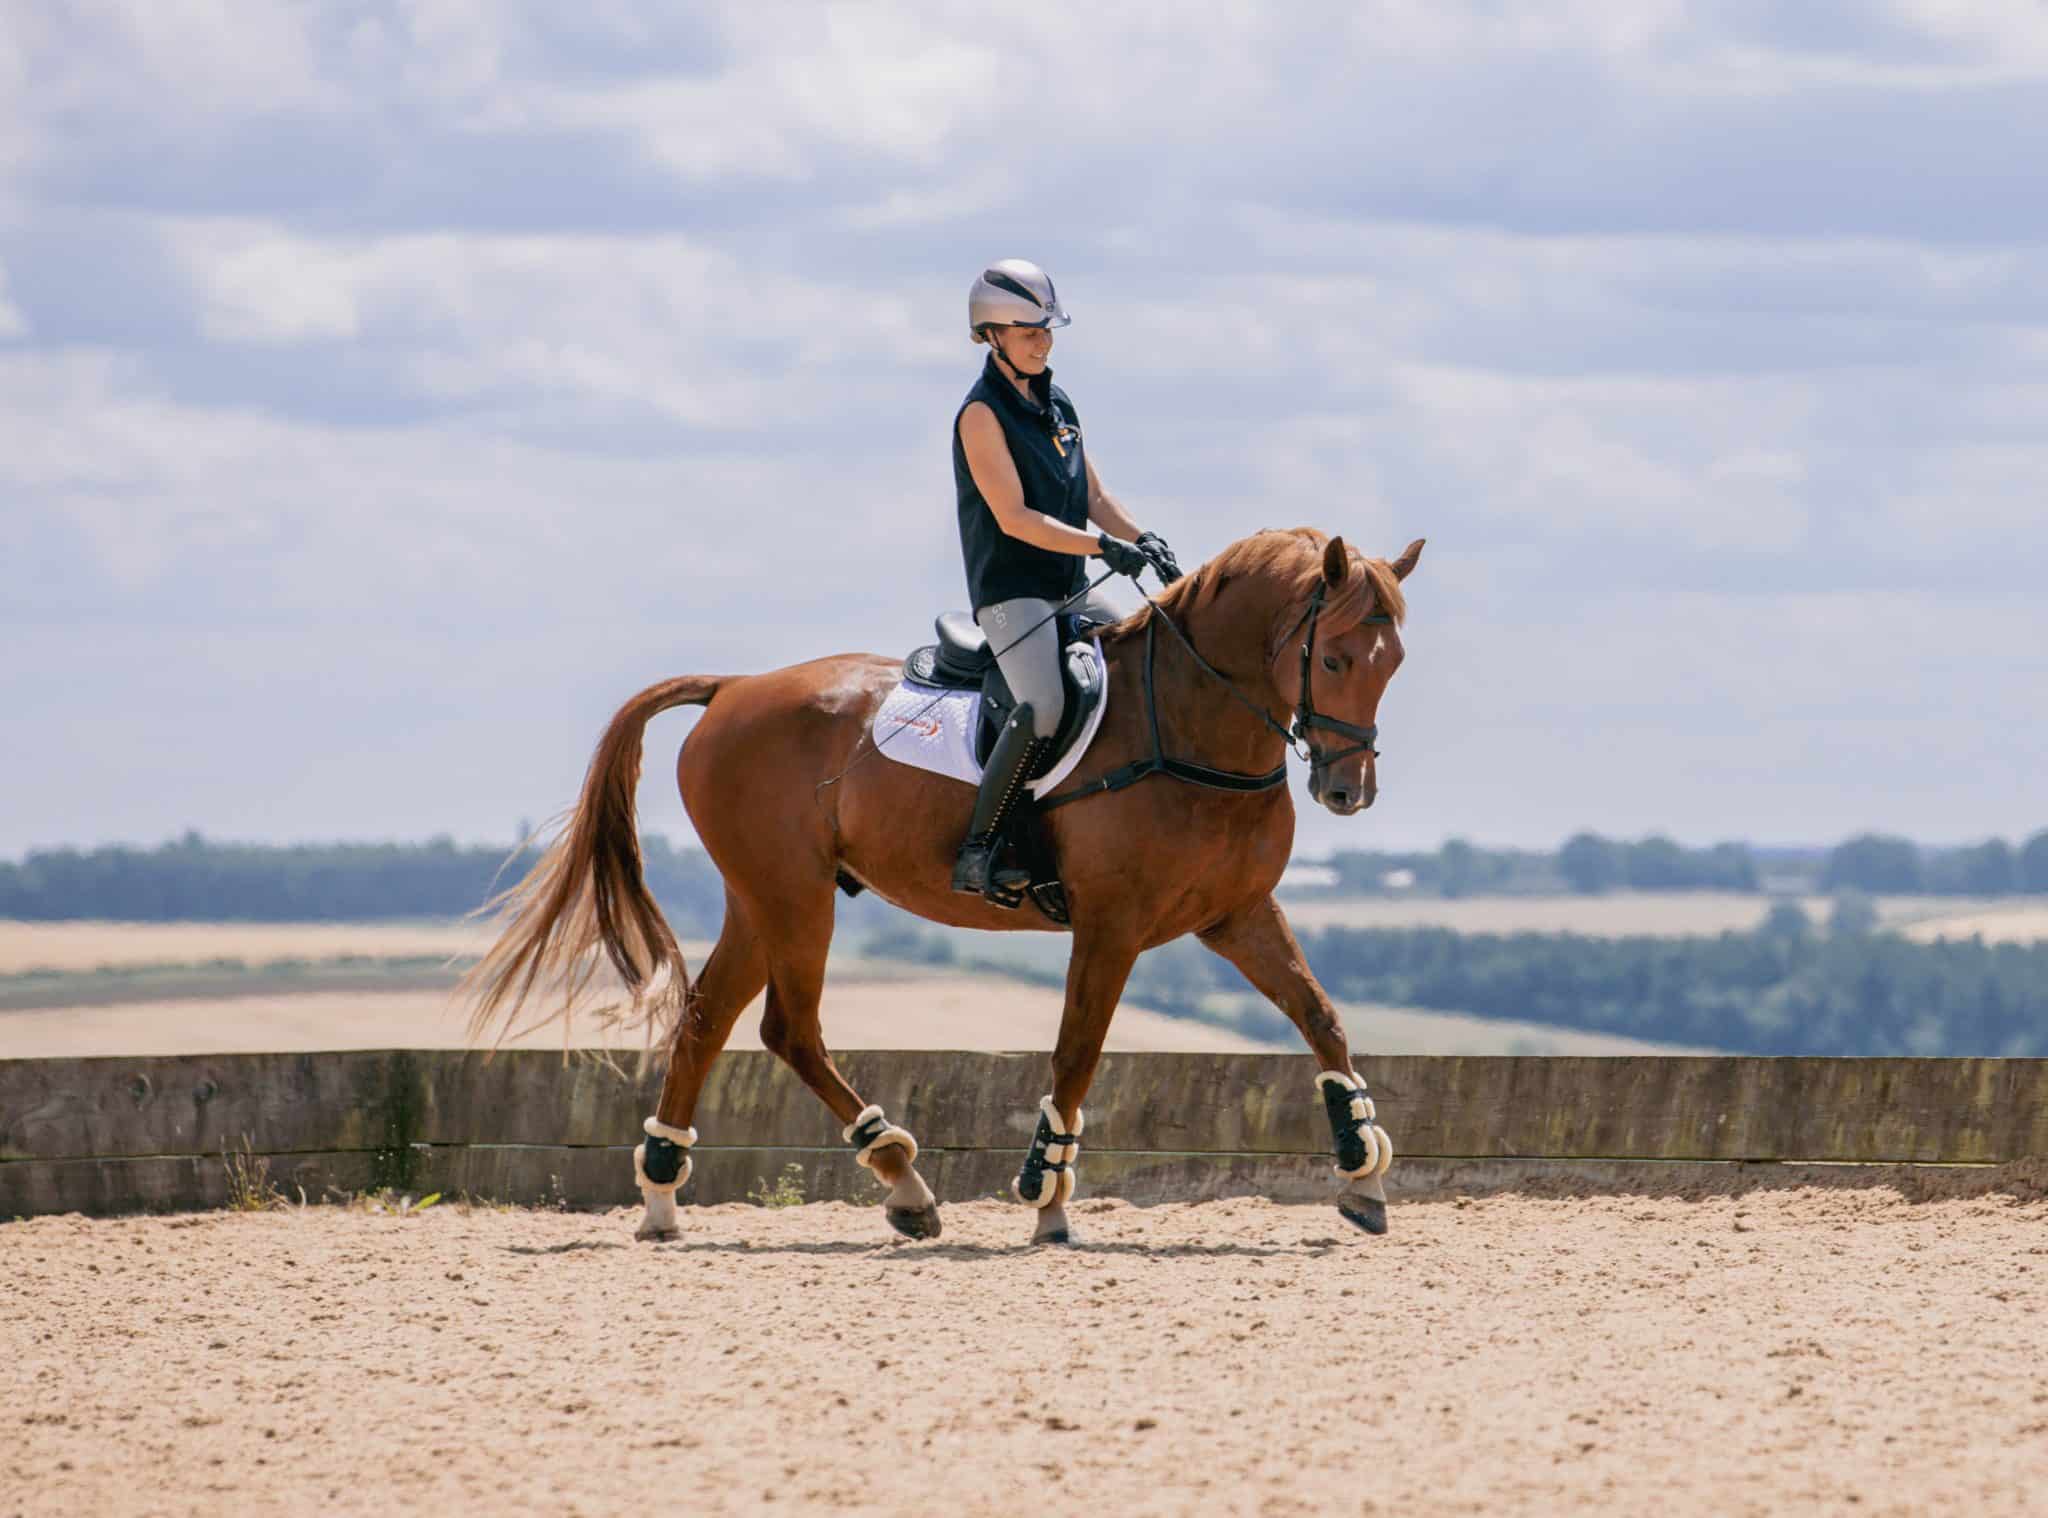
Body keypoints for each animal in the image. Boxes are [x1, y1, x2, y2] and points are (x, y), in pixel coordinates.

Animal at [460, 526, 1423, 1244]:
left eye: (1394, 662)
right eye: (1335, 661)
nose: (1349, 791)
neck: (1191, 722)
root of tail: (734, 689)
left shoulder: (1237, 914)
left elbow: (1321, 1016)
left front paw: (1363, 1172)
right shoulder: (1111, 926)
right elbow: (1077, 1054)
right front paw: (1047, 1197)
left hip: (761, 897)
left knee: (708, 1020)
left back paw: (667, 1199)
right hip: (793, 895)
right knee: (787, 1027)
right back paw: (902, 1180)